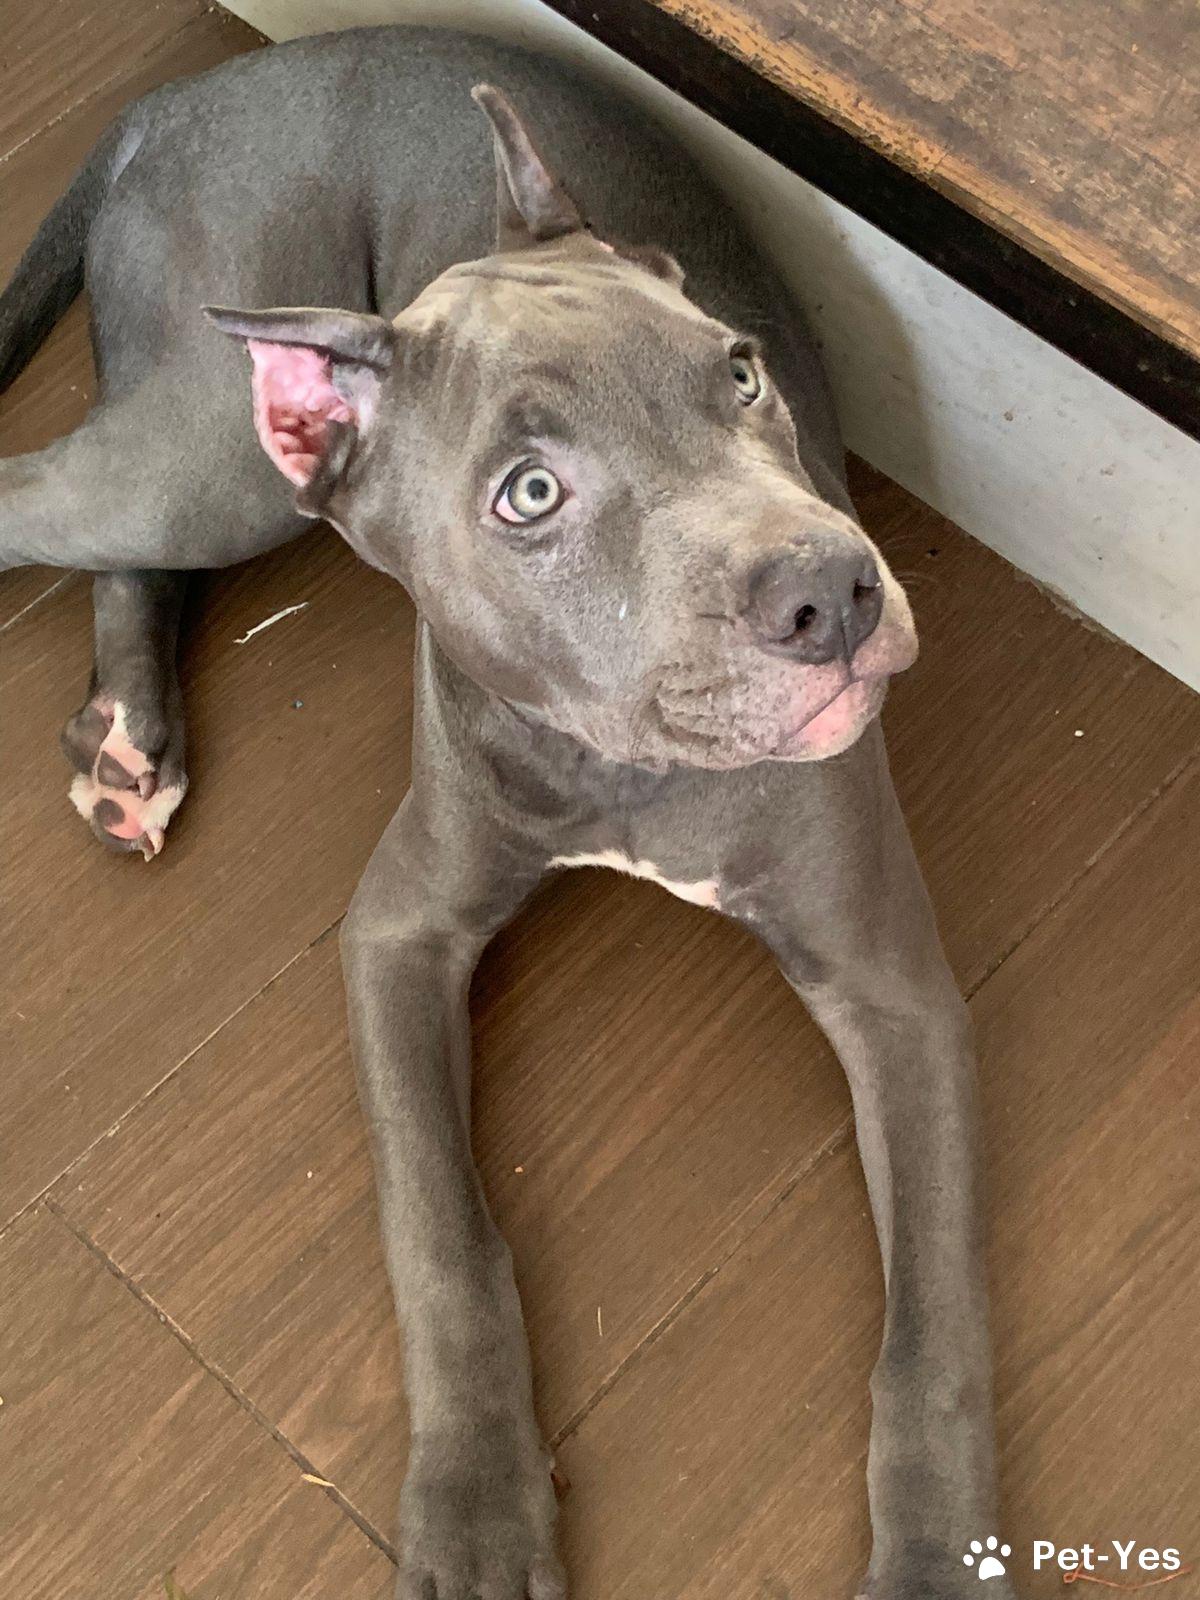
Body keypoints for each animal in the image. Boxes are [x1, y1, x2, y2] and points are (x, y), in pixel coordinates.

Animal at [0, 26, 1009, 1600]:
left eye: (740, 372)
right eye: (529, 494)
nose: (834, 594)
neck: (628, 769)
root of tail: (182, 98)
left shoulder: (893, 990)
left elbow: (934, 1333)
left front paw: (933, 1560)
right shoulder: (399, 932)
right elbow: (443, 1240)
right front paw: (476, 1513)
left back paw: (127, 740)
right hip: (209, 453)